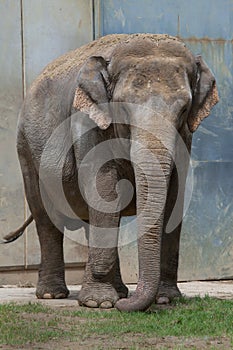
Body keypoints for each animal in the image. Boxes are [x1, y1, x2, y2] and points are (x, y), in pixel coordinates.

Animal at [1, 33, 218, 312]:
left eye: (183, 110)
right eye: (123, 109)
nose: (125, 304)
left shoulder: (185, 137)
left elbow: (173, 199)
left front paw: (166, 298)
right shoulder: (86, 122)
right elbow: (102, 188)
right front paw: (99, 303)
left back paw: (116, 290)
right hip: (25, 148)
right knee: (45, 216)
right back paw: (53, 295)